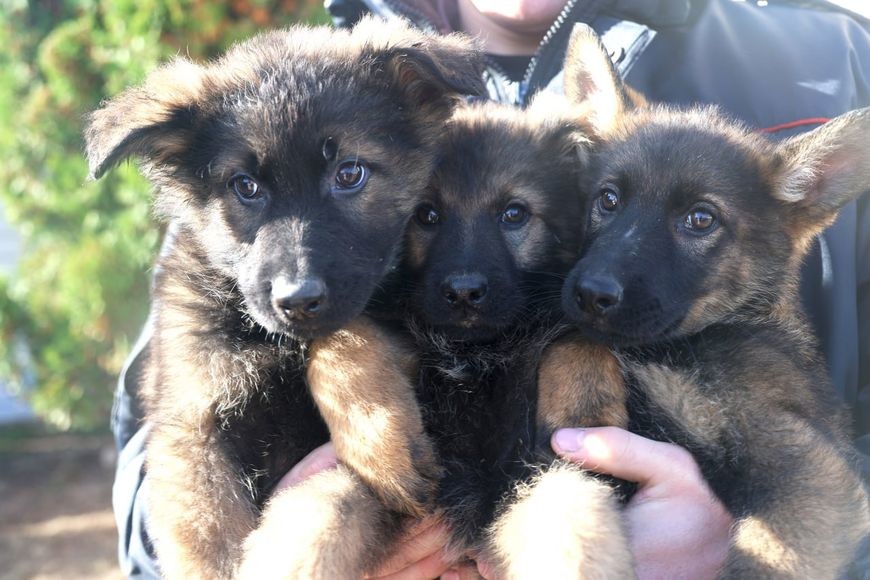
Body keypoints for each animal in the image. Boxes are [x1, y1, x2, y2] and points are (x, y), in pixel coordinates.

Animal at [85, 18, 488, 580]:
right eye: (245, 186)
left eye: (349, 173)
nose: (297, 300)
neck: (271, 339)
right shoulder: (190, 427)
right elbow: (209, 545)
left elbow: (320, 511)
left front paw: (381, 442)